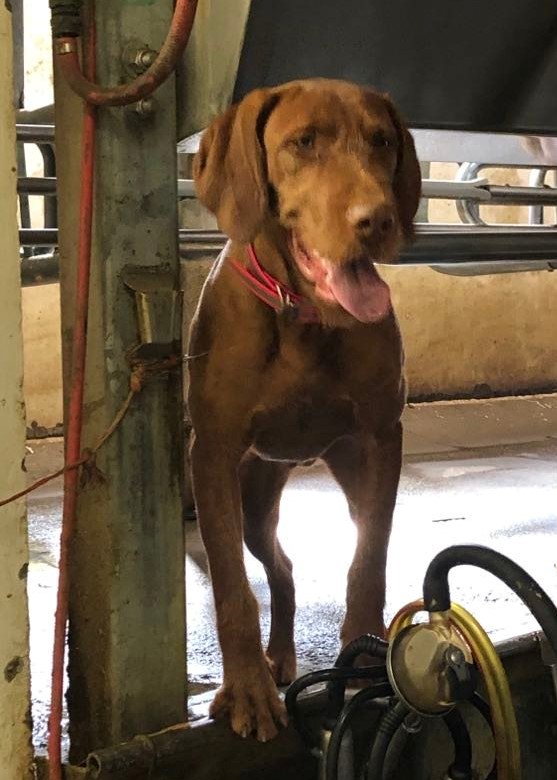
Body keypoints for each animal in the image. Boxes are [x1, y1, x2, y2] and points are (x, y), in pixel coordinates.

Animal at [189, 79, 420, 744]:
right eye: (303, 143)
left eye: (382, 141)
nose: (377, 219)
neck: (307, 319)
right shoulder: (212, 454)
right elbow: (232, 589)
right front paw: (246, 689)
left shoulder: (381, 440)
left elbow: (369, 561)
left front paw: (365, 660)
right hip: (251, 501)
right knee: (279, 569)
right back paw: (274, 662)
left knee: (299, 564)